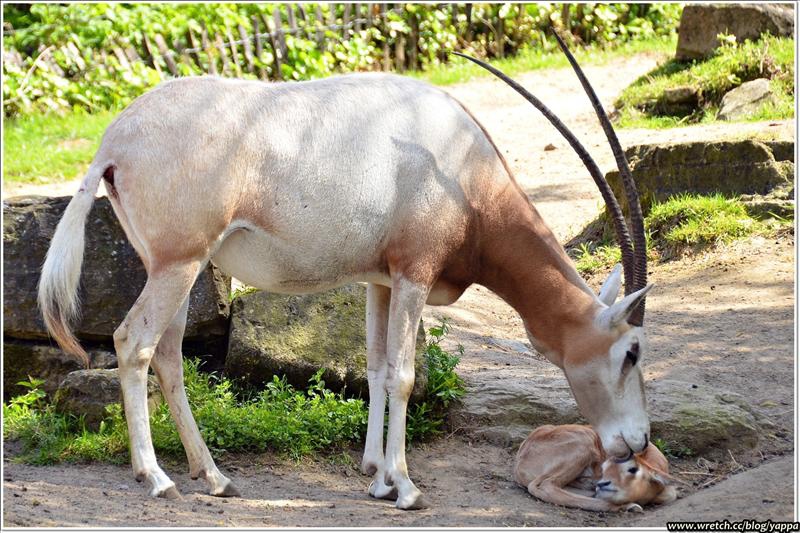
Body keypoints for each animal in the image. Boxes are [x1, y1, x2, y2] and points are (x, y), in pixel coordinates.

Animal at [38, 31, 652, 509]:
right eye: (631, 352)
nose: (638, 443)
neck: (463, 168)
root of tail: (115, 139)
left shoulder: (381, 280)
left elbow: (377, 368)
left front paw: (376, 477)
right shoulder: (414, 273)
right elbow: (404, 374)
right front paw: (406, 487)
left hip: (177, 268)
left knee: (167, 354)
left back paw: (213, 477)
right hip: (179, 262)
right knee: (134, 342)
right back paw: (158, 478)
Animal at [514, 424, 677, 512]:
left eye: (632, 469)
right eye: (604, 467)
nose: (602, 484)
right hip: (583, 442)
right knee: (546, 486)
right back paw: (628, 506)